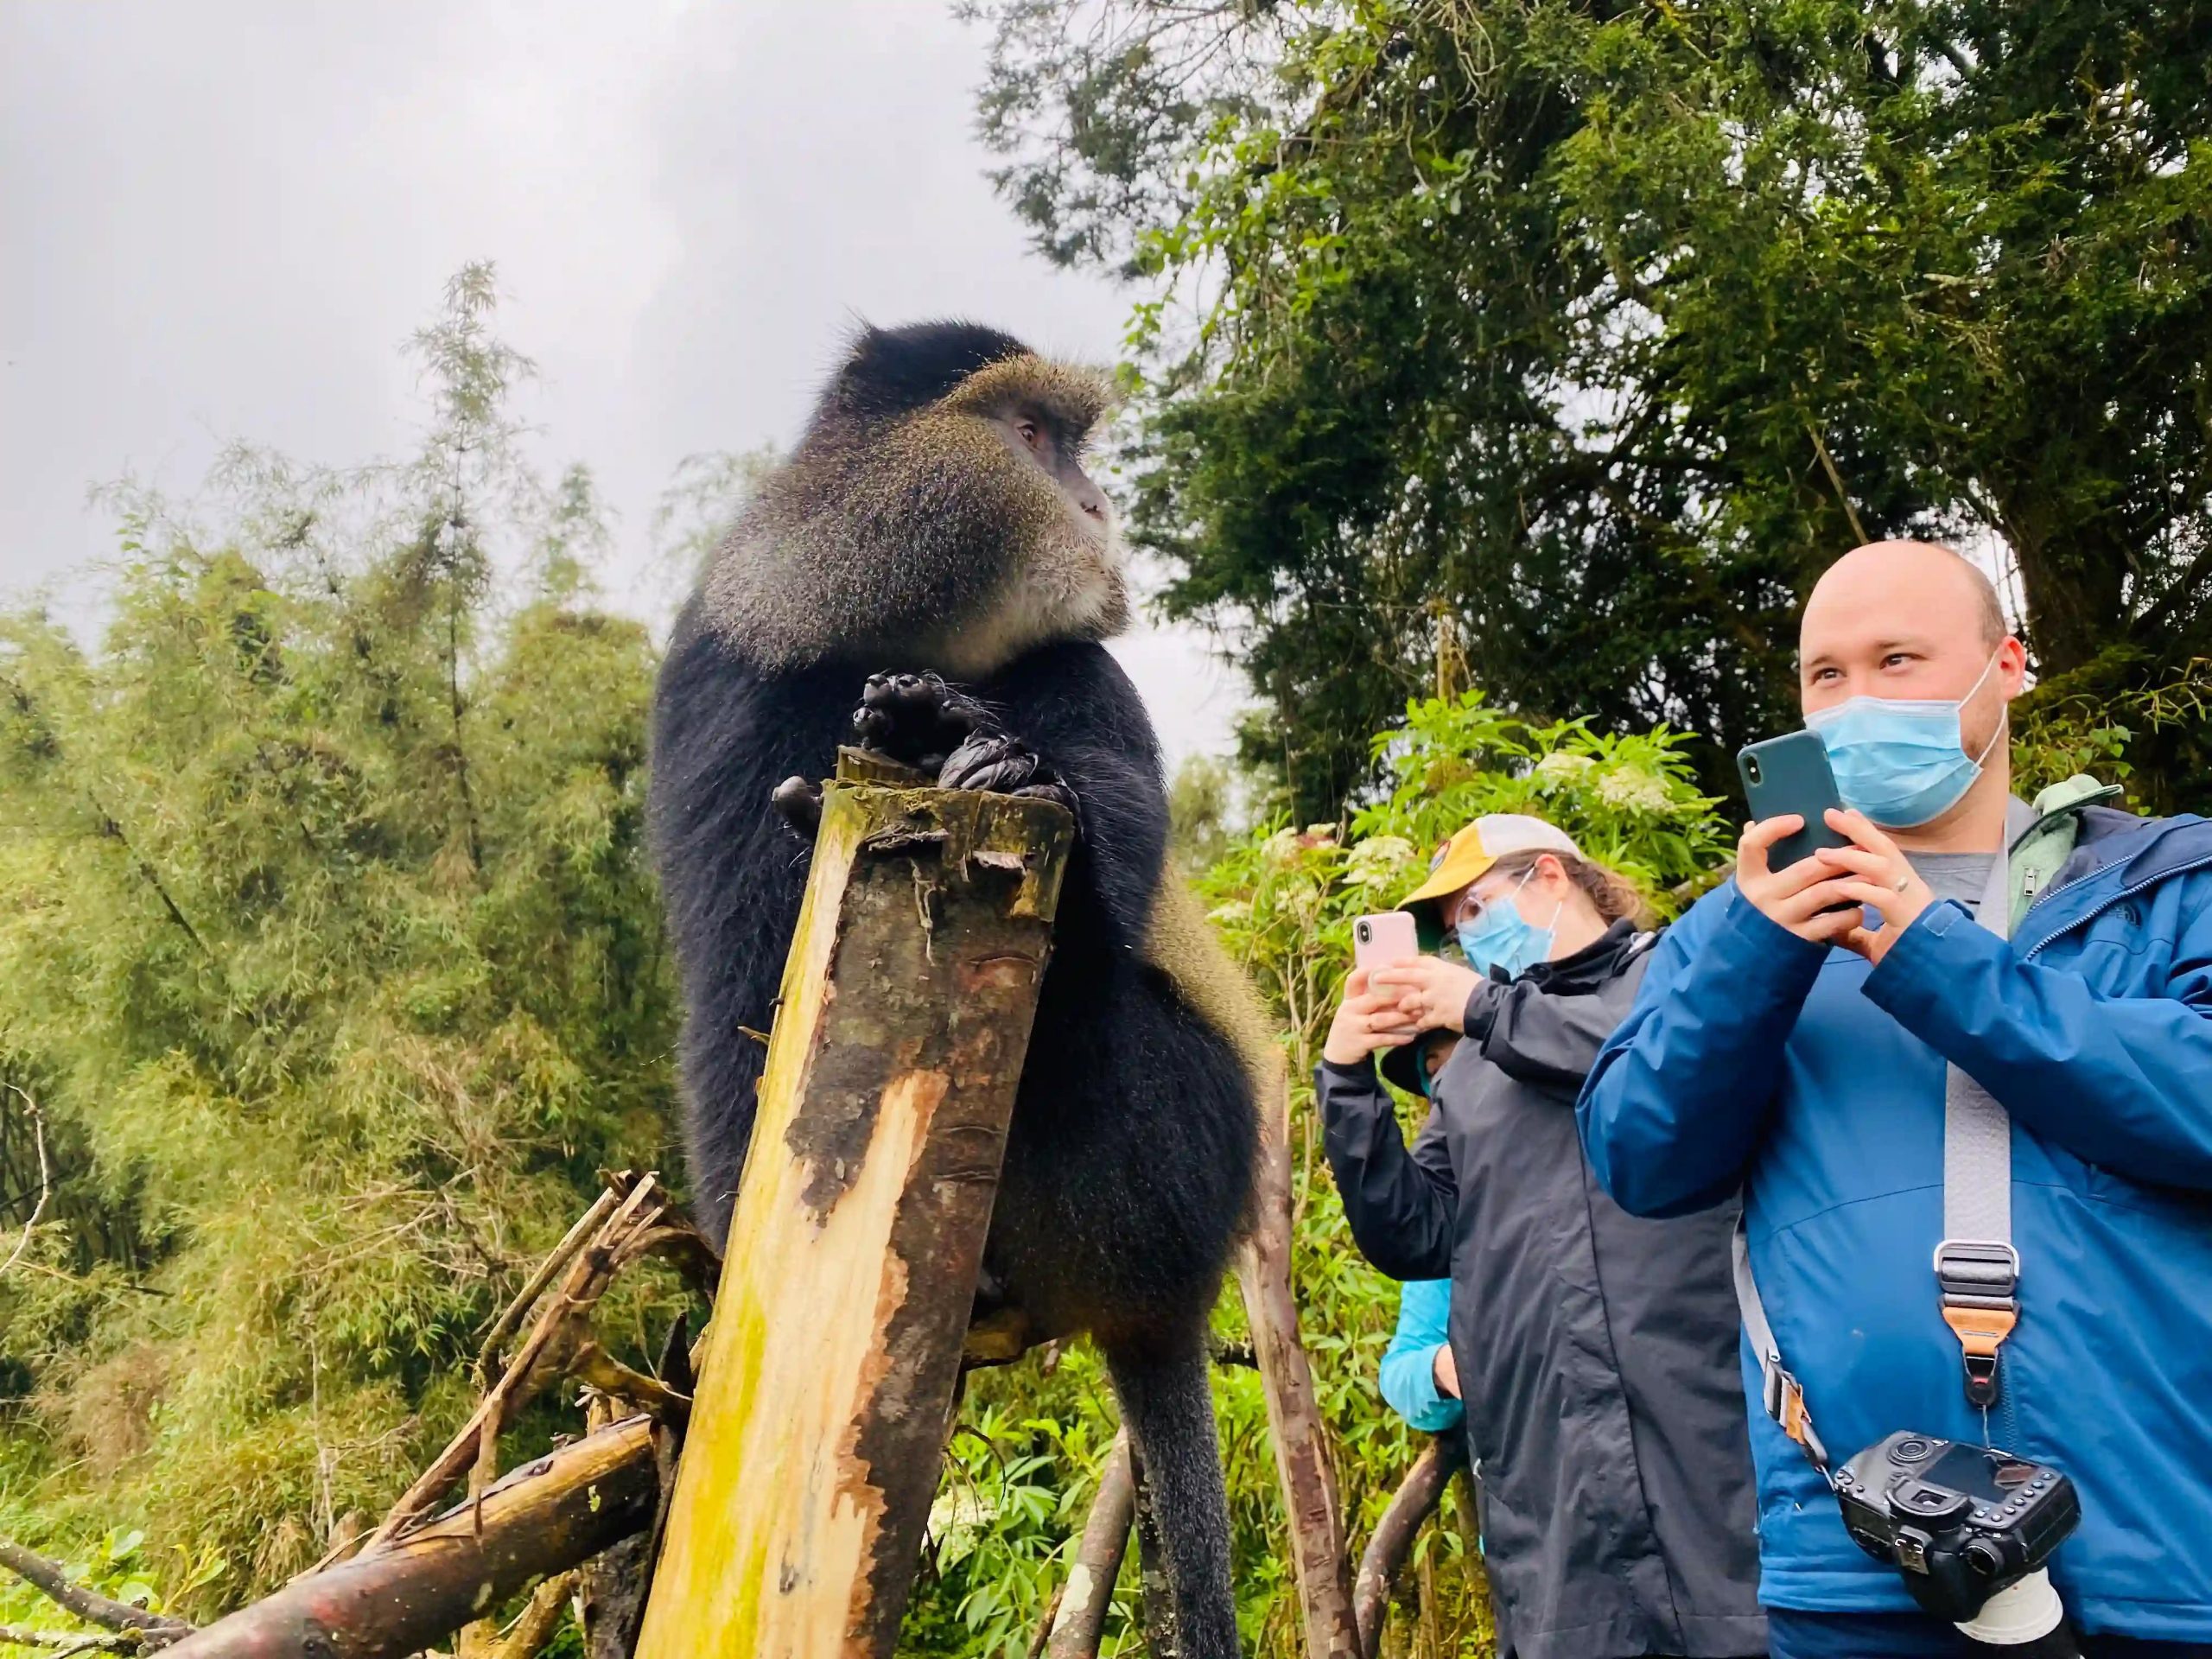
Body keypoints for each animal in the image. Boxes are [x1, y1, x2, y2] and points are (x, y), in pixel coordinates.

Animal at [647, 320, 1272, 1657]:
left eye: (1074, 442)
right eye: (1031, 436)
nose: (1095, 504)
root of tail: (1172, 1295)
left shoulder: (1083, 669)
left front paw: (980, 751)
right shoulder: (719, 682)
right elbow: (731, 986)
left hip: (1173, 1158)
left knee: (1085, 1010)